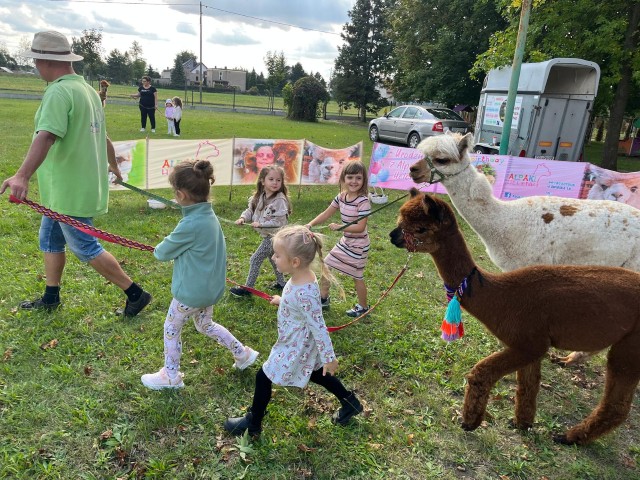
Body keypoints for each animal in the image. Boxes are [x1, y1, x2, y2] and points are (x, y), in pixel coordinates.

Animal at [389, 189, 640, 445]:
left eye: (420, 229)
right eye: (400, 221)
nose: (392, 236)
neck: (499, 296)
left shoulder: (529, 341)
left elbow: (481, 372)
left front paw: (470, 422)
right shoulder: (532, 343)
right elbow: (528, 385)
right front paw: (522, 423)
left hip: (631, 346)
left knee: (617, 406)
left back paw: (569, 436)